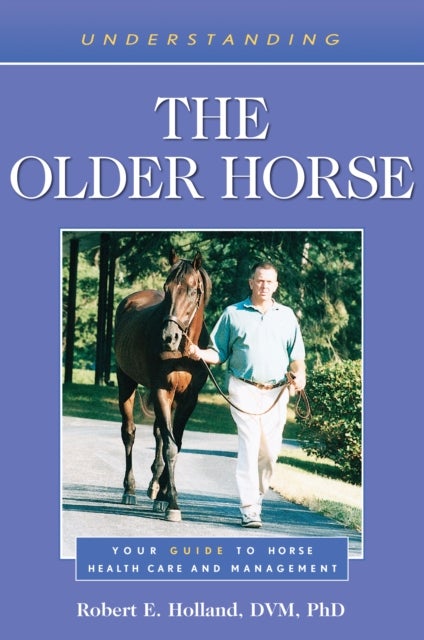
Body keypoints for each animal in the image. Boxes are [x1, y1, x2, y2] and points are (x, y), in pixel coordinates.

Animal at [114, 248, 212, 522]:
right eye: (167, 288)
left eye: (193, 290)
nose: (169, 337)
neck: (182, 353)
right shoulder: (162, 391)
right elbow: (170, 447)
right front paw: (173, 503)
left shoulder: (188, 400)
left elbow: (175, 442)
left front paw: (165, 494)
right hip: (126, 381)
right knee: (129, 433)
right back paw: (130, 490)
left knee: (158, 432)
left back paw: (154, 484)